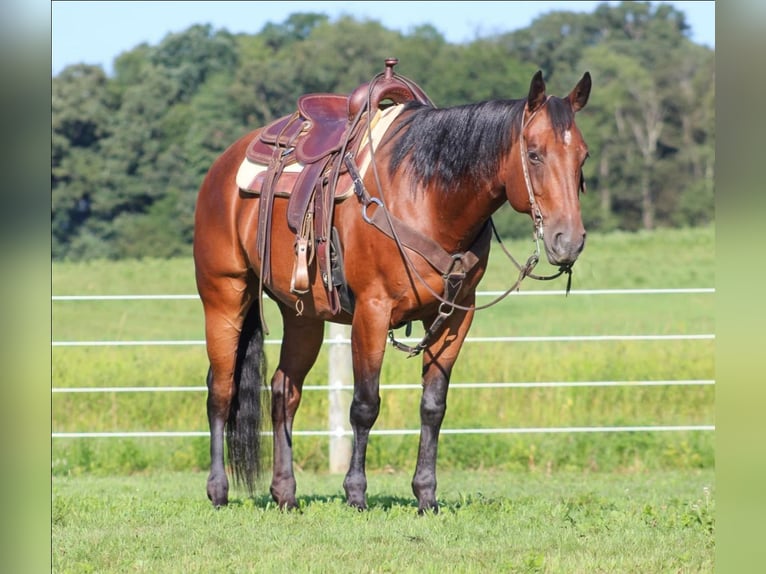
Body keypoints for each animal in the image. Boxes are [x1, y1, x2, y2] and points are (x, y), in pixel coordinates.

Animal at [194, 60, 592, 516]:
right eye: (534, 153)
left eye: (583, 156)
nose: (569, 240)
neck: (427, 196)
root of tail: (224, 165)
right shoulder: (372, 311)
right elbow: (365, 405)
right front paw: (355, 493)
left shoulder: (456, 318)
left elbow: (433, 406)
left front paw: (426, 495)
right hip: (224, 295)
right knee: (221, 390)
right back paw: (218, 490)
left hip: (303, 316)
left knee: (284, 391)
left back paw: (285, 493)